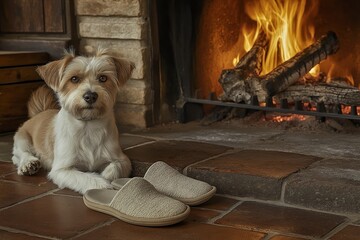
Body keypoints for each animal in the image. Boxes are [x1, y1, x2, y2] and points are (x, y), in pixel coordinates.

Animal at [12, 47, 135, 194]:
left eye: (103, 78)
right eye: (74, 79)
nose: (90, 96)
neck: (88, 126)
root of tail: (41, 112)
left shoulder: (122, 160)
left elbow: (115, 167)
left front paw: (106, 175)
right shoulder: (61, 169)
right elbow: (84, 177)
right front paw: (102, 184)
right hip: (22, 138)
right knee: (19, 154)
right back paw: (29, 163)